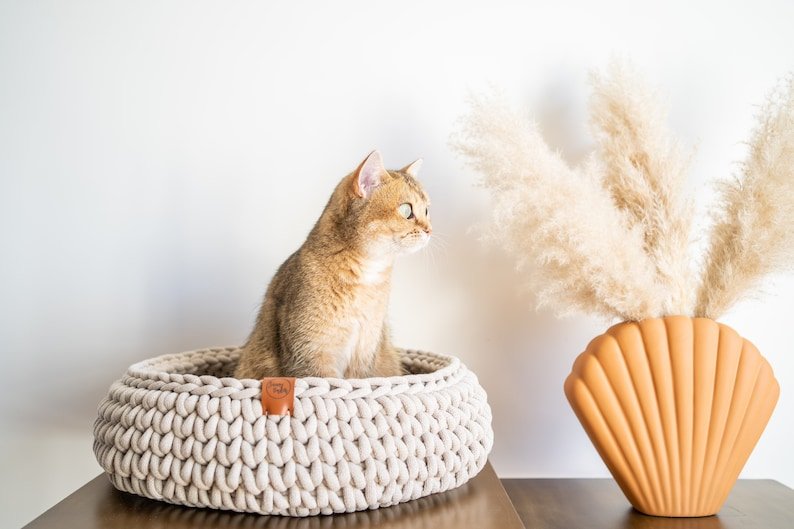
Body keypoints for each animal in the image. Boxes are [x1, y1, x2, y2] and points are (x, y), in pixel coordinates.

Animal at [234, 151, 430, 378]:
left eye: (427, 210)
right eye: (407, 210)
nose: (429, 230)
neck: (366, 276)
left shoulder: (364, 356)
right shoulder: (312, 356)